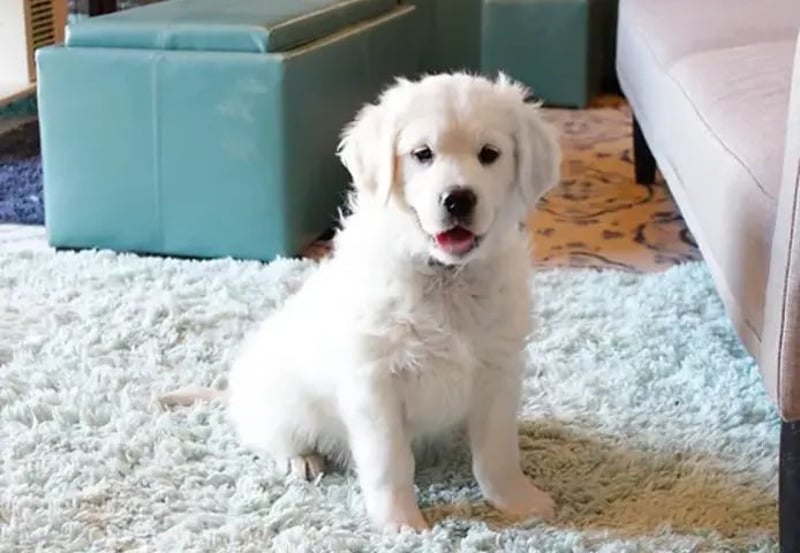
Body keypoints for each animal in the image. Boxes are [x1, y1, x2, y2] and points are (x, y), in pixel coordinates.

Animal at [167, 72, 562, 532]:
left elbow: (498, 451)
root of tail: (235, 394)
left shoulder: (498, 370)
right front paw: (400, 523)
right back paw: (301, 459)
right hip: (282, 403)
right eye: (422, 154)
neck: (445, 278)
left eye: (489, 154)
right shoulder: (374, 380)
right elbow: (390, 460)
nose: (458, 199)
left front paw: (518, 501)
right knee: (269, 437)